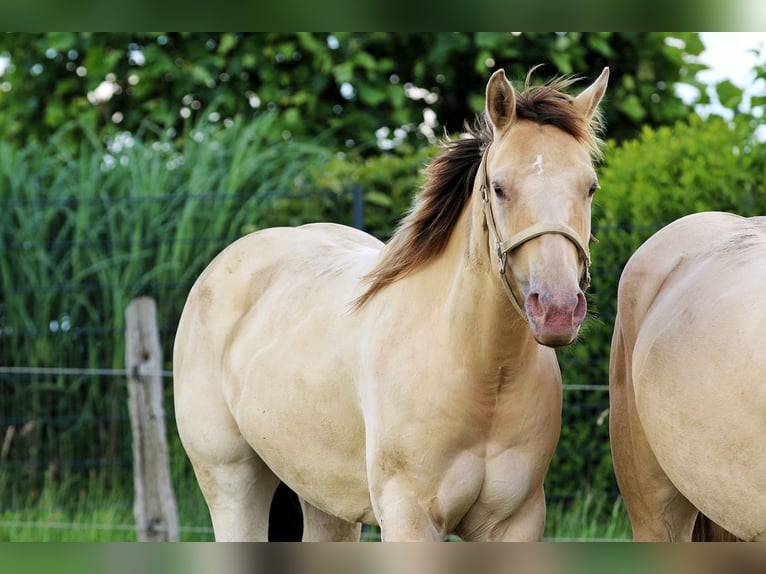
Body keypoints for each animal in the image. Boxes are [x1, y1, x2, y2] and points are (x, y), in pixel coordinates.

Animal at [174, 65, 612, 544]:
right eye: (499, 188)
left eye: (590, 187)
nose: (557, 309)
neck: (480, 370)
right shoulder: (410, 518)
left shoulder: (516, 524)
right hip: (232, 483)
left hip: (324, 500)